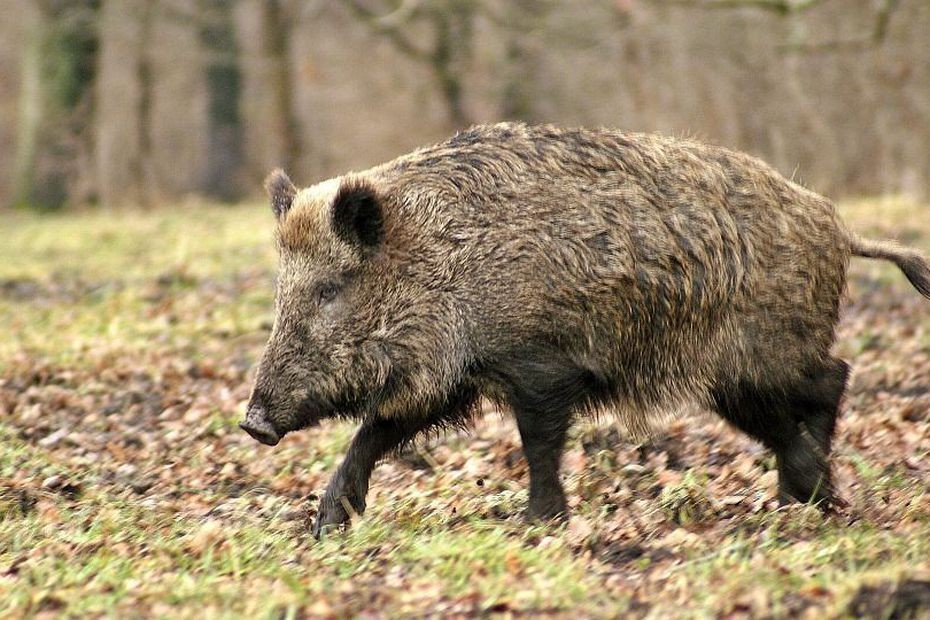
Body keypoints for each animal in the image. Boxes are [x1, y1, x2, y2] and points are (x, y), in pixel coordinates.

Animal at [239, 122, 930, 538]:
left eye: (332, 288)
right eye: (282, 289)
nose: (253, 423)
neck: (447, 260)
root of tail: (840, 229)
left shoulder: (539, 364)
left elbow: (539, 443)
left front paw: (538, 524)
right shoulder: (447, 378)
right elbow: (377, 432)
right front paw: (326, 527)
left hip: (762, 356)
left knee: (832, 379)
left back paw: (813, 496)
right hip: (735, 378)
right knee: (798, 410)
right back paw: (799, 498)